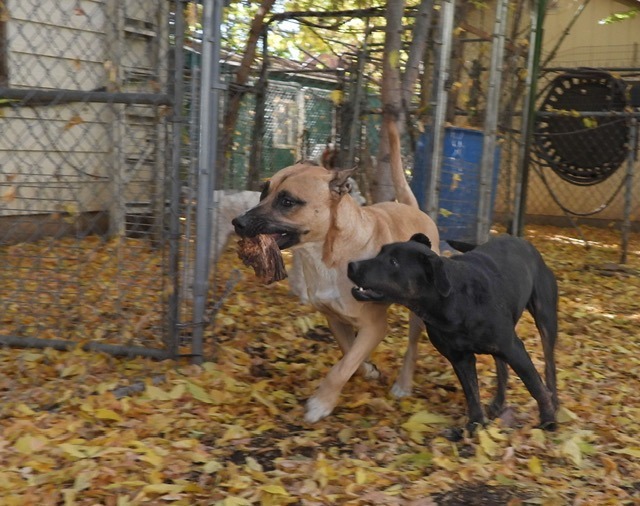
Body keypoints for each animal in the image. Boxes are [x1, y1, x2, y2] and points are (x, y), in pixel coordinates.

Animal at [232, 120, 438, 422]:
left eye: (287, 202)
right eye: (263, 192)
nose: (238, 222)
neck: (327, 254)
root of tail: (415, 210)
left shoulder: (375, 326)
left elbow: (339, 369)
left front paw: (321, 403)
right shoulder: (334, 318)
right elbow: (348, 354)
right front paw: (366, 369)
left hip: (419, 314)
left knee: (412, 346)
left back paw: (403, 384)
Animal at [348, 235, 556, 432]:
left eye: (393, 262)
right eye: (379, 252)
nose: (351, 265)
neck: (453, 302)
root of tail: (524, 242)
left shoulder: (513, 348)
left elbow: (535, 386)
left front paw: (548, 419)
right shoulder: (460, 359)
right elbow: (472, 394)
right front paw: (475, 425)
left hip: (545, 320)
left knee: (549, 367)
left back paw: (555, 403)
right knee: (502, 369)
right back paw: (498, 403)